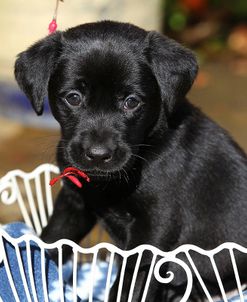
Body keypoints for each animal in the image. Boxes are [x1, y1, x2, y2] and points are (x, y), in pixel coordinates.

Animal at [14, 20, 247, 300]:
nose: (98, 155)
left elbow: (129, 286)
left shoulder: (154, 226)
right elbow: (49, 241)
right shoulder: (74, 203)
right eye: (73, 97)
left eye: (131, 102)